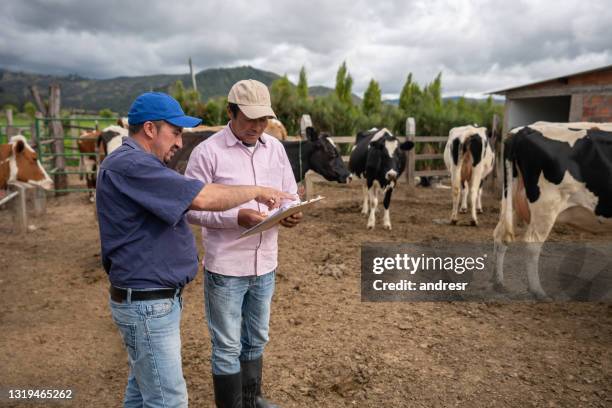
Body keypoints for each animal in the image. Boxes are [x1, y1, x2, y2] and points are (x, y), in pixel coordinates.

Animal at [492, 121, 612, 300]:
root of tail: (524, 130)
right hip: (546, 206)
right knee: (532, 244)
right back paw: (539, 292)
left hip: (511, 201)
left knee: (500, 236)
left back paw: (498, 283)